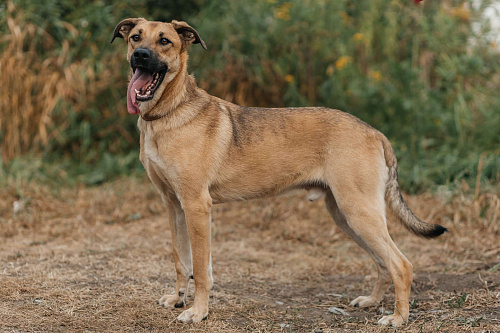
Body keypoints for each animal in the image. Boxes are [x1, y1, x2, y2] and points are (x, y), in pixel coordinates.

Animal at [111, 17, 448, 324]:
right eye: (136, 36)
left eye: (164, 41)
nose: (140, 55)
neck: (170, 112)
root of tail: (375, 132)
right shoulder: (174, 205)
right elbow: (181, 260)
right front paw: (178, 298)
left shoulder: (196, 206)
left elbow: (200, 269)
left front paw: (198, 312)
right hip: (345, 215)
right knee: (382, 262)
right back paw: (372, 301)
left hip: (359, 212)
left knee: (401, 264)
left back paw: (398, 318)